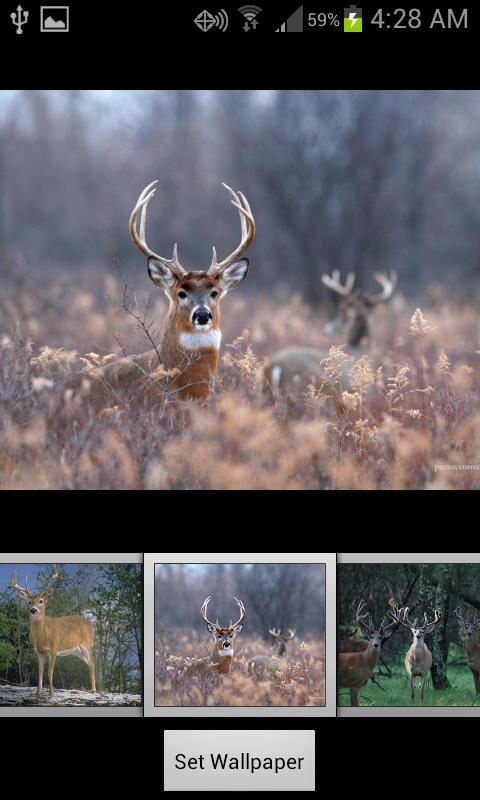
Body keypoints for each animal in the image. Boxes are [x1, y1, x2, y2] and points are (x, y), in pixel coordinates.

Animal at [10, 565, 96, 698]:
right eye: (29, 602)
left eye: (41, 601)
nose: (33, 610)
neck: (42, 635)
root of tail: (91, 624)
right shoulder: (39, 651)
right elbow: (40, 671)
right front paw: (38, 693)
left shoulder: (54, 648)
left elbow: (50, 671)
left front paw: (51, 693)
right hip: (77, 651)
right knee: (90, 663)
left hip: (87, 645)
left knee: (92, 663)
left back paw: (94, 691)